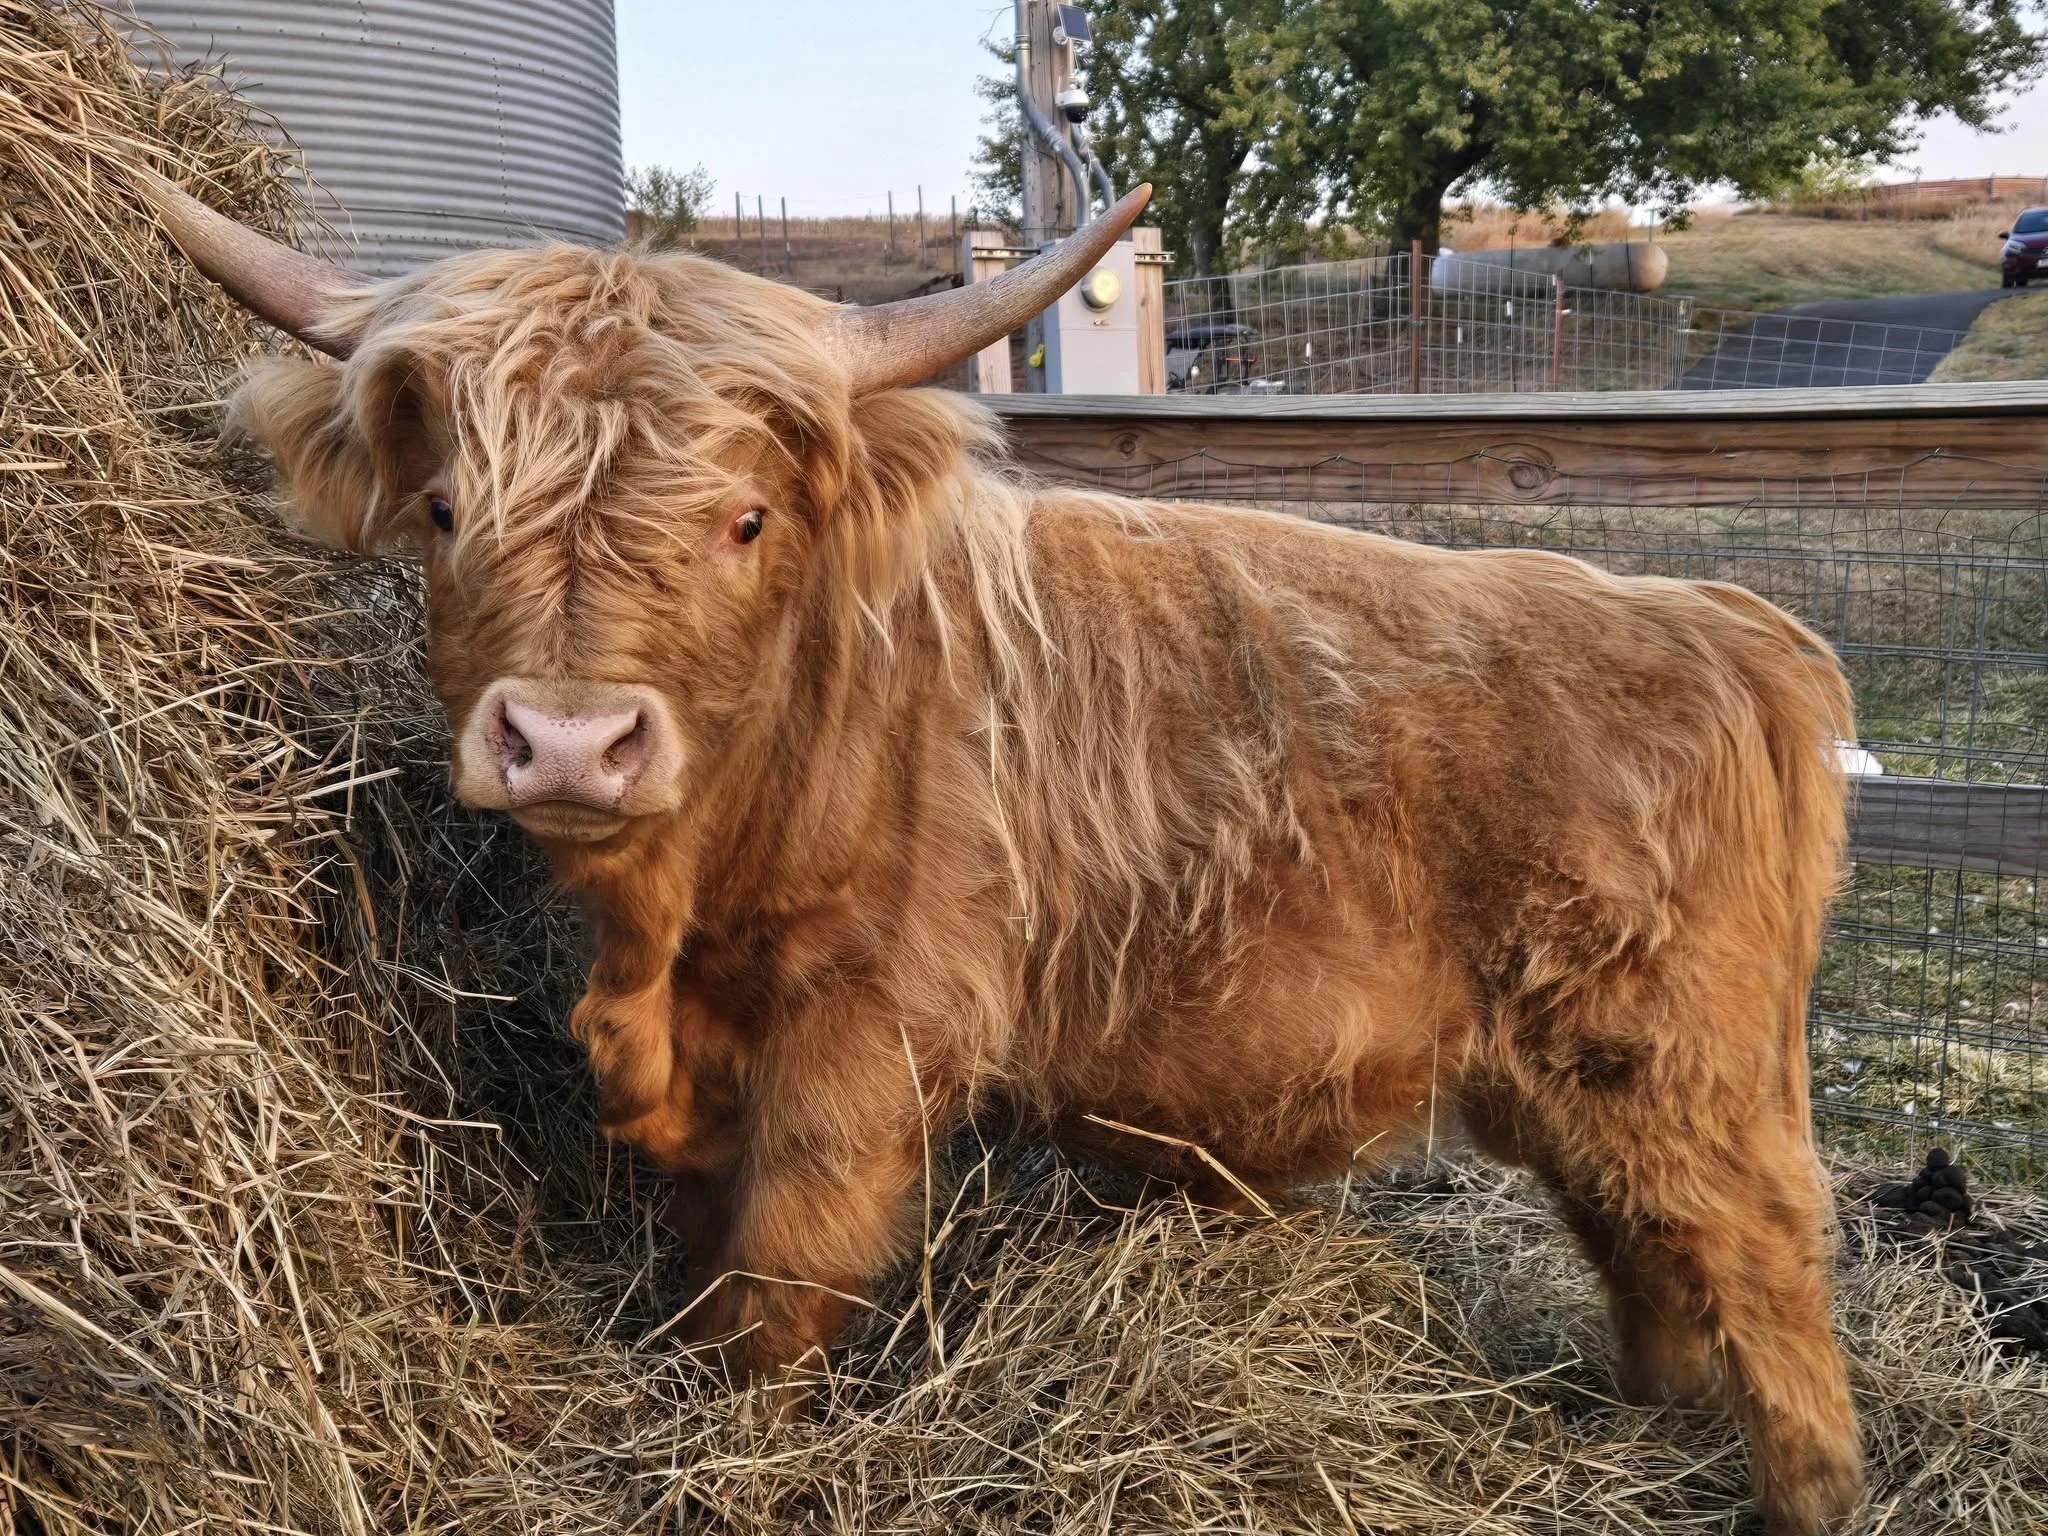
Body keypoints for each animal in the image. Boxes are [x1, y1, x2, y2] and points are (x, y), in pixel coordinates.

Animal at [134, 169, 1863, 1534]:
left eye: (746, 522)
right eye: (441, 509)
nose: (567, 739)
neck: (686, 915)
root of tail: (1732, 627)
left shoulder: (868, 1036)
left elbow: (779, 1276)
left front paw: (744, 1449)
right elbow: (707, 1247)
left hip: (1688, 1063)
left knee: (1766, 1267)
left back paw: (1794, 1493)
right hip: (1571, 1077)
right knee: (1643, 1251)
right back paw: (1641, 1433)